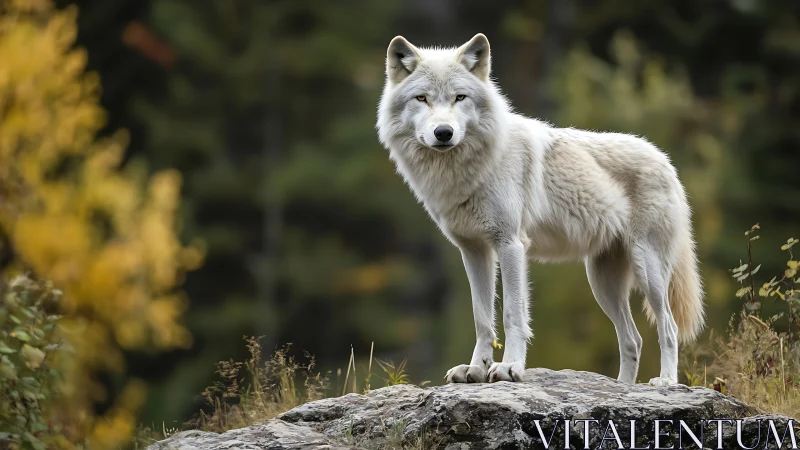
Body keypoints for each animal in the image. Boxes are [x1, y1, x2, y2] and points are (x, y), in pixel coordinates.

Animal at [376, 33, 704, 386]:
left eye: (459, 97)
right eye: (422, 98)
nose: (444, 133)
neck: (467, 170)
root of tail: (665, 160)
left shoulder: (511, 245)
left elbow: (513, 315)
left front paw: (509, 368)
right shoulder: (474, 251)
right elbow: (482, 319)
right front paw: (475, 369)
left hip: (648, 271)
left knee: (668, 327)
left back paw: (665, 382)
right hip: (602, 283)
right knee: (633, 339)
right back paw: (623, 387)